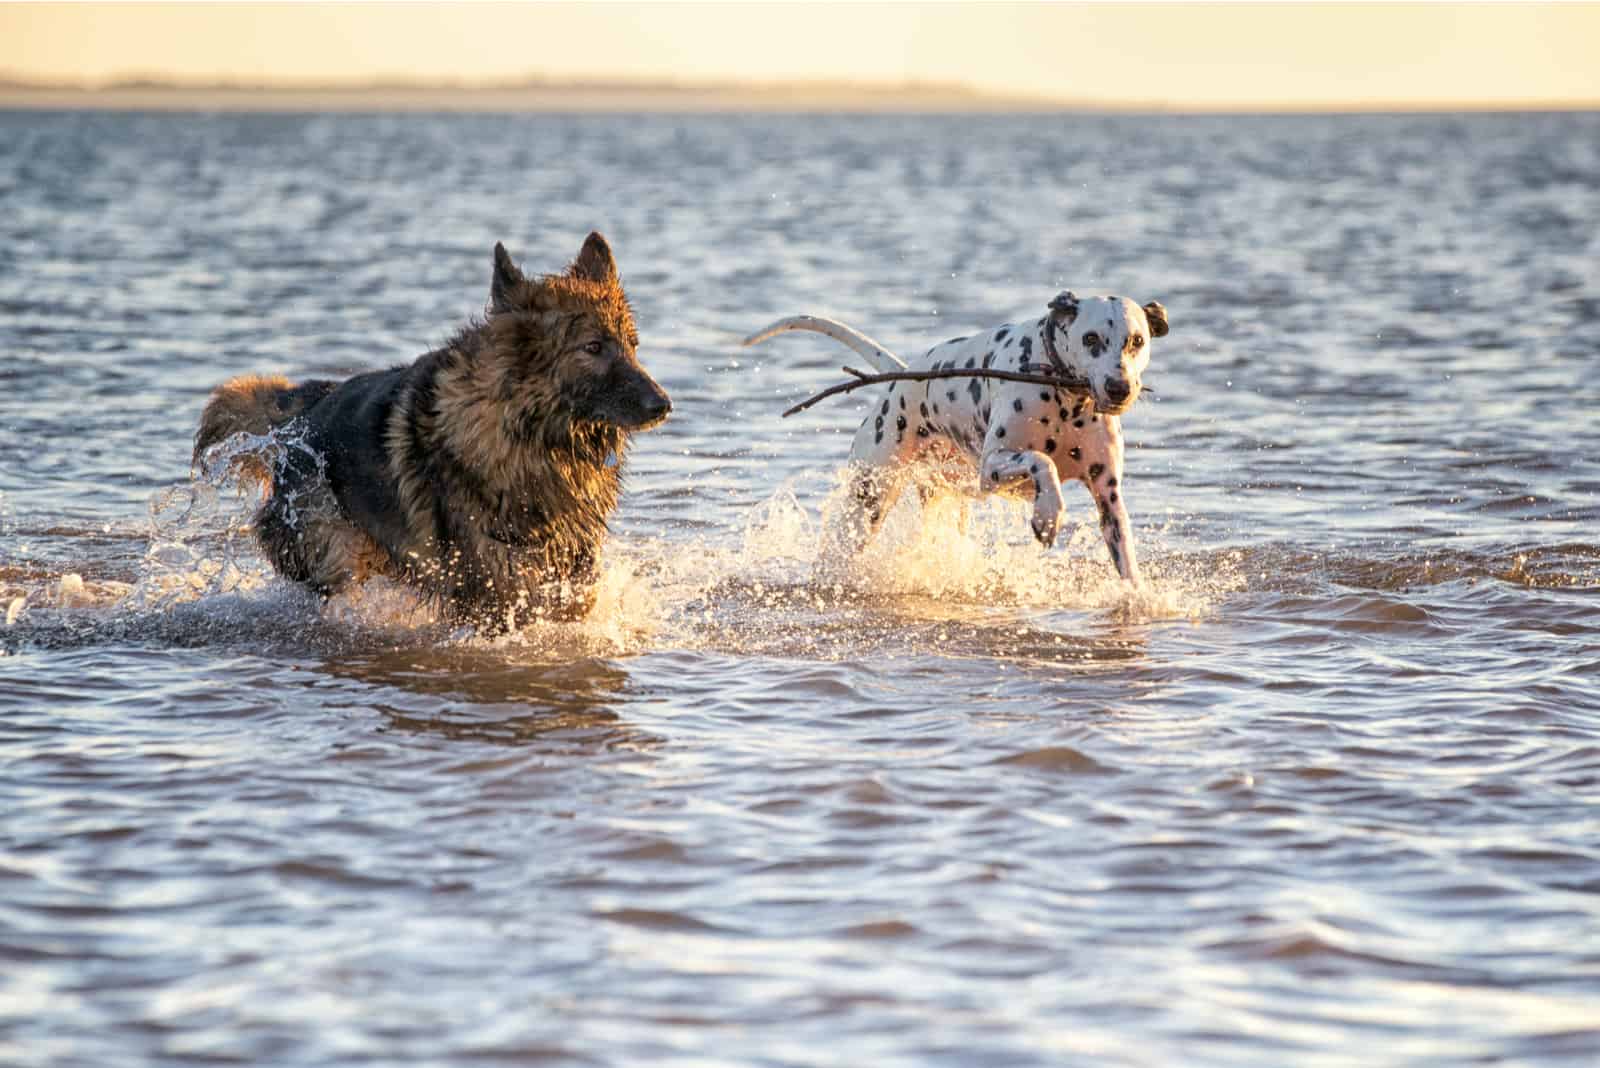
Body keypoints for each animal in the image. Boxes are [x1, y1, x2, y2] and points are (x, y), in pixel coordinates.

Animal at [742, 294, 1171, 585]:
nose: (1119, 387)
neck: (1067, 401)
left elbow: (1127, 562)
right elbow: (1042, 461)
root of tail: (903, 376)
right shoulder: (994, 466)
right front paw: (1048, 515)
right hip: (868, 502)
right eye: (1091, 338)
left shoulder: (1108, 495)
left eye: (1136, 341)